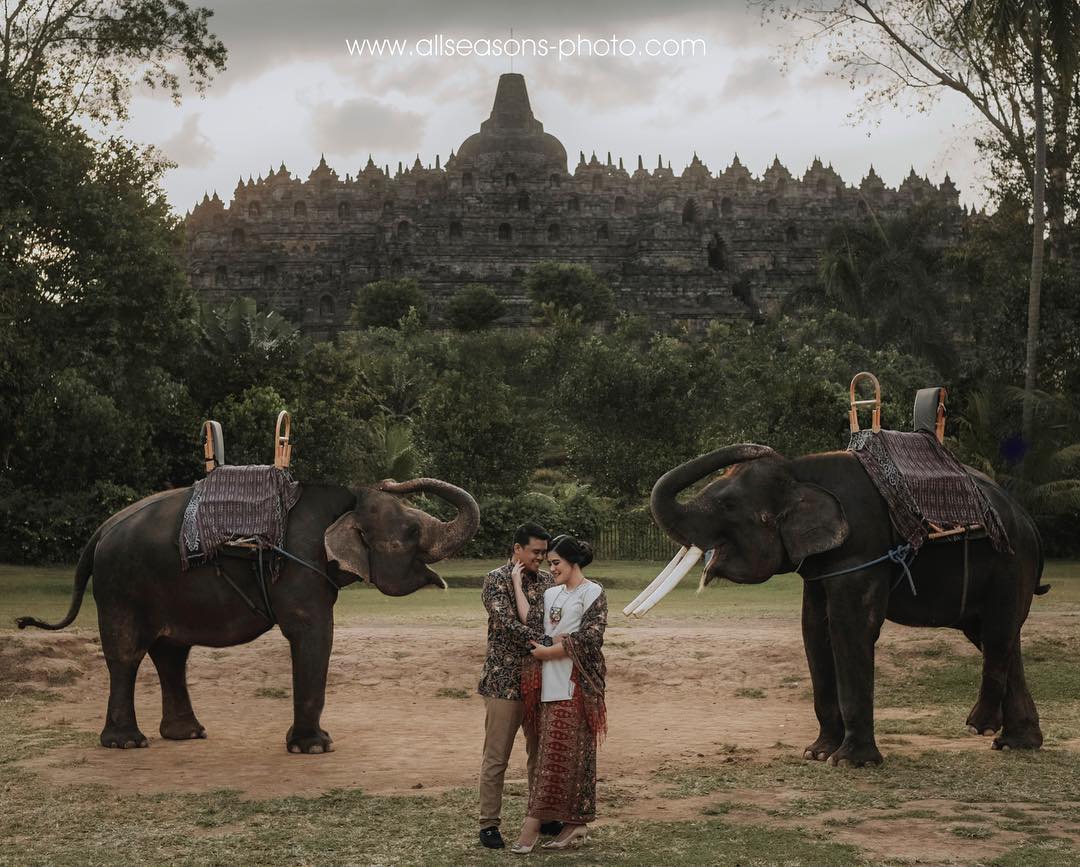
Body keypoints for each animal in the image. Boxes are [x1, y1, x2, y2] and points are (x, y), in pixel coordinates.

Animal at [14, 477, 479, 755]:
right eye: (413, 532)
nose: (388, 479)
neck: (342, 505)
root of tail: (102, 530)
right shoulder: (298, 568)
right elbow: (313, 633)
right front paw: (315, 747)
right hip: (120, 585)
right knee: (127, 654)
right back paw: (127, 743)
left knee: (171, 653)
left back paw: (187, 734)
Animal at [648, 446, 1045, 764]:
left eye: (727, 506)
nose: (762, 447)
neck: (801, 472)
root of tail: (1028, 519)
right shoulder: (821, 565)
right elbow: (814, 630)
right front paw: (816, 754)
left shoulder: (860, 552)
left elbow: (849, 628)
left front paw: (850, 762)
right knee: (999, 637)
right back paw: (1016, 743)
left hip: (1010, 563)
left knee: (998, 633)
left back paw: (983, 726)